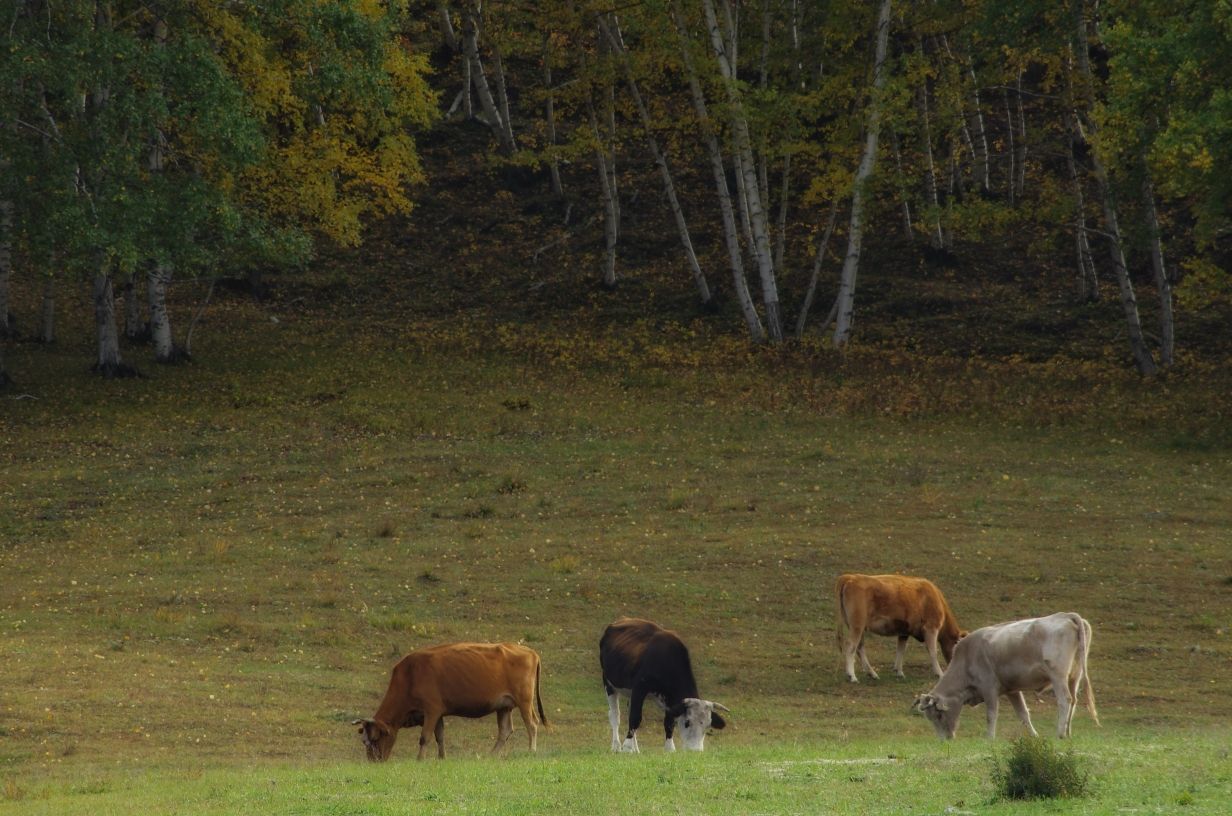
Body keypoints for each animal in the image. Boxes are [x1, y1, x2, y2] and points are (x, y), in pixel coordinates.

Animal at [357, 640, 549, 764]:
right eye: (364, 741)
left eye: (375, 738)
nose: (374, 761)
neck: (409, 675)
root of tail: (530, 652)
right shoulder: (438, 714)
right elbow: (440, 736)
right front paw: (442, 757)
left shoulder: (431, 710)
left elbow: (425, 737)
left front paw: (420, 759)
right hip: (504, 706)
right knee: (505, 731)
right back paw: (491, 755)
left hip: (524, 701)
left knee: (532, 724)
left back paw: (531, 750)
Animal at [598, 621, 724, 754]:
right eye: (687, 722)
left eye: (707, 726)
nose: (695, 750)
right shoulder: (639, 688)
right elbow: (635, 717)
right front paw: (626, 747)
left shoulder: (671, 701)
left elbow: (669, 722)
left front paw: (670, 748)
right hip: (608, 682)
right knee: (615, 715)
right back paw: (616, 746)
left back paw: (636, 749)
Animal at [832, 574, 965, 685]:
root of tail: (851, 577)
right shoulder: (931, 628)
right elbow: (933, 652)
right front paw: (940, 673)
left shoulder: (904, 631)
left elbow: (901, 650)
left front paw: (899, 671)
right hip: (857, 626)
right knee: (851, 646)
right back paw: (852, 676)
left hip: (857, 627)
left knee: (860, 647)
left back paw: (872, 673)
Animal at [911, 613, 1103, 739]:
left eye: (938, 715)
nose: (945, 740)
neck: (966, 658)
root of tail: (1065, 616)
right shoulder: (1012, 691)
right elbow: (1023, 714)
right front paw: (1034, 735)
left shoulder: (989, 688)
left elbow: (991, 714)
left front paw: (989, 738)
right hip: (1074, 676)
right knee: (1074, 701)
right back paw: (1068, 731)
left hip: (1058, 676)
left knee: (1065, 700)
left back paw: (1061, 733)